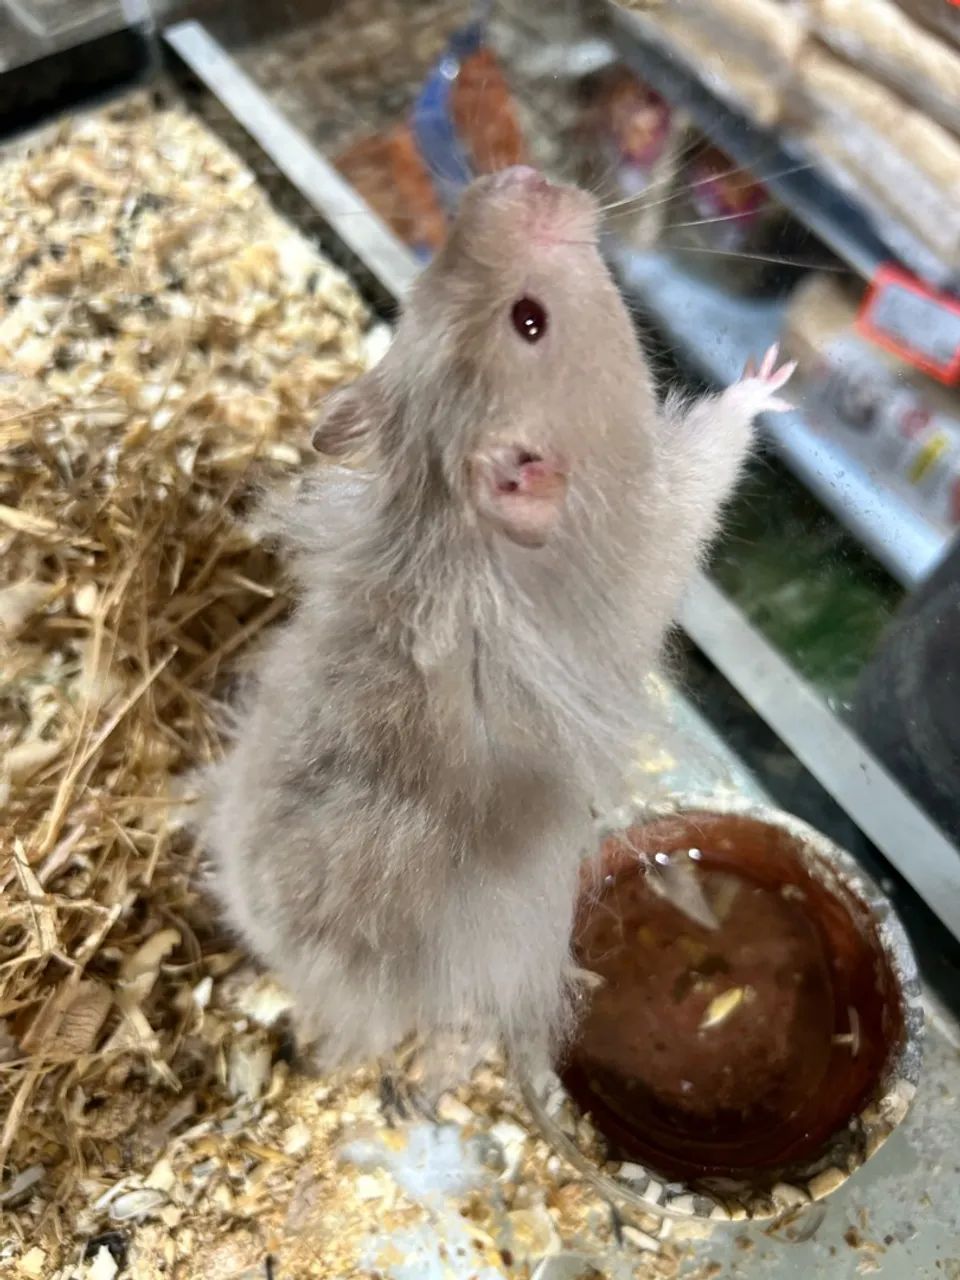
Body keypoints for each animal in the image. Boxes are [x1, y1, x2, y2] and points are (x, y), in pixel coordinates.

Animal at [201, 165, 793, 1083]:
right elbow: (717, 451)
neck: (446, 518)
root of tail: (307, 971)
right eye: (529, 320)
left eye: (415, 294)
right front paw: (770, 374)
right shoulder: (661, 519)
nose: (518, 175)